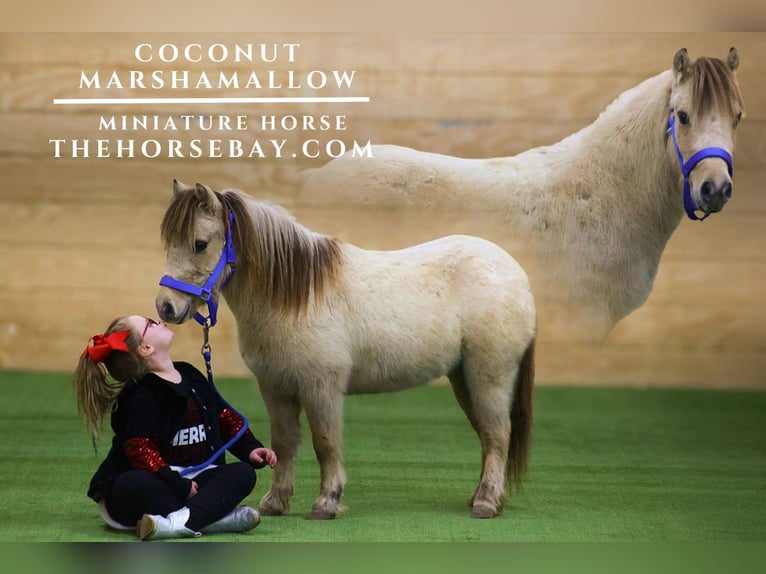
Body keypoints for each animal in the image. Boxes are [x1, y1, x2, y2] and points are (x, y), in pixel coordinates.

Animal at [157, 184, 540, 520]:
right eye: (168, 243)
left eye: (200, 243)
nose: (165, 307)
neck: (296, 297)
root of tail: (516, 273)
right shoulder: (276, 388)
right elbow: (284, 443)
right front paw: (275, 503)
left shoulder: (321, 387)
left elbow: (325, 442)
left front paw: (326, 502)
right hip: (464, 379)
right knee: (487, 435)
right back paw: (481, 497)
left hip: (489, 376)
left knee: (497, 434)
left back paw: (486, 503)